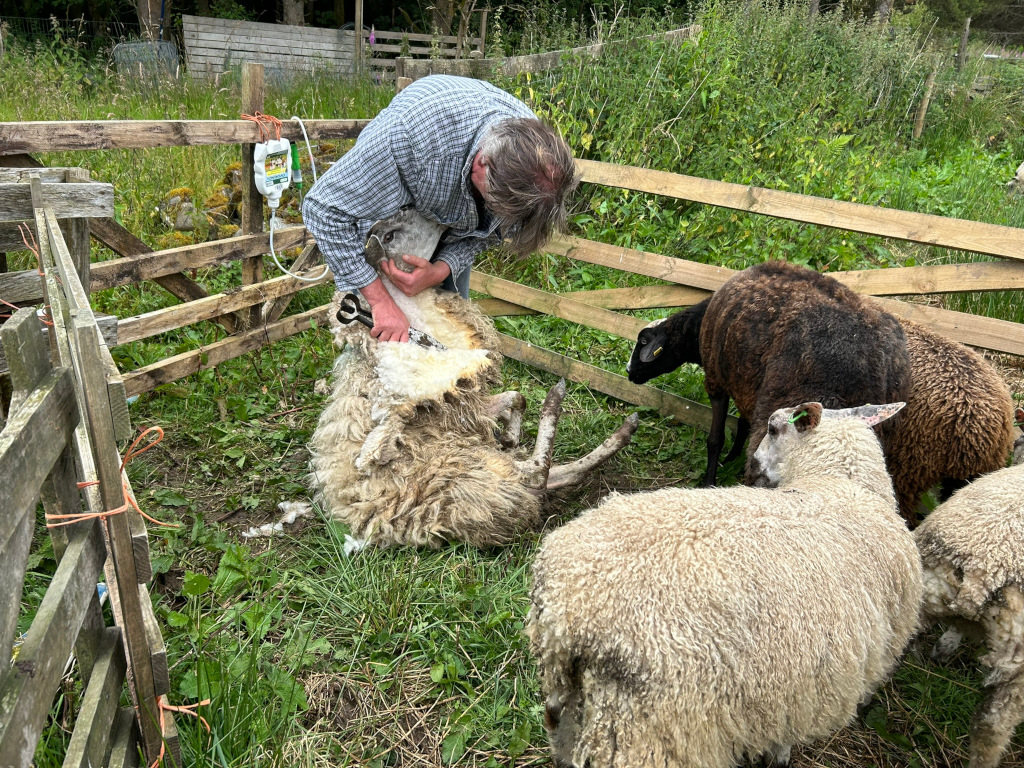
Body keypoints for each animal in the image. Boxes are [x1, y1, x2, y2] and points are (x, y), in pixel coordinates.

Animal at [304, 209, 638, 549]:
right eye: (389, 236)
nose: (425, 213)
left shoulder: (462, 407)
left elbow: (517, 397)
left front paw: (510, 434)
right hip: (467, 476)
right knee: (536, 472)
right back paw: (556, 402)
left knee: (553, 476)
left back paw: (622, 430)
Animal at [527, 400, 922, 768]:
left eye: (773, 429)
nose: (755, 466)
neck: (840, 485)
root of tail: (572, 613)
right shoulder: (806, 681)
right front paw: (780, 757)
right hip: (651, 728)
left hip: (563, 685)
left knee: (557, 727)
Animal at [627, 261, 1016, 524]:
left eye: (644, 341)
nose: (630, 374)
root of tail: (981, 426)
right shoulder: (746, 384)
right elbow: (740, 426)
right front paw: (730, 457)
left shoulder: (719, 381)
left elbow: (717, 437)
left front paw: (711, 477)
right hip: (950, 474)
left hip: (905, 464)